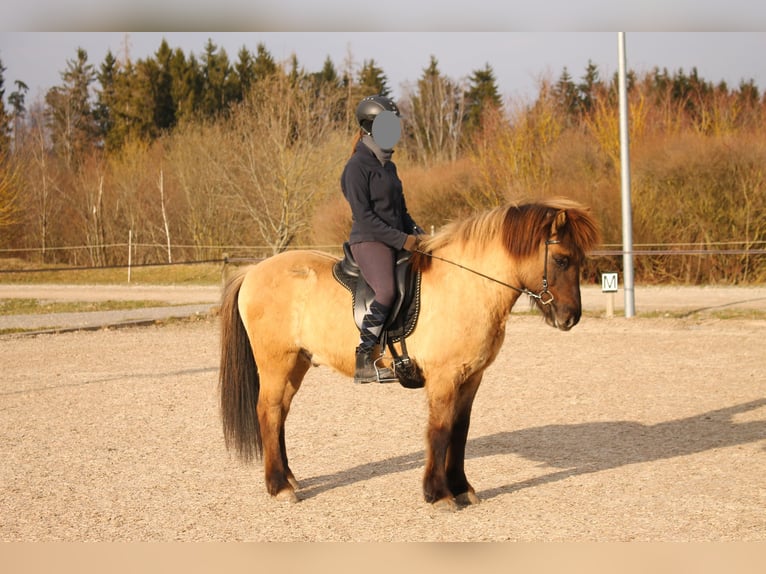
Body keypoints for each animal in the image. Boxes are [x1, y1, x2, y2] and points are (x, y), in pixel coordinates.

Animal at [219, 199, 604, 512]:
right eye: (561, 259)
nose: (570, 318)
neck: (466, 285)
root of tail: (253, 271)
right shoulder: (444, 377)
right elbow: (439, 430)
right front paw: (439, 495)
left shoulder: (471, 377)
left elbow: (460, 430)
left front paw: (461, 488)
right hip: (276, 361)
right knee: (268, 412)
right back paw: (279, 487)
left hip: (297, 362)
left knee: (280, 413)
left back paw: (288, 477)